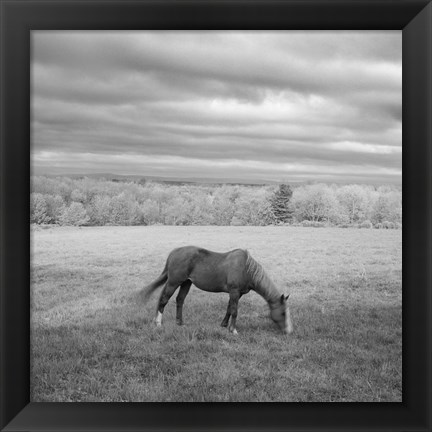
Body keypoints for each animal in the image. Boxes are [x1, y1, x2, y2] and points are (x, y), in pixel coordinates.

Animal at [139, 246, 294, 334]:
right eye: (282, 313)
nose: (289, 331)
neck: (245, 269)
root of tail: (173, 253)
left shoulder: (237, 294)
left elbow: (229, 309)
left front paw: (224, 325)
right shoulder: (234, 292)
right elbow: (235, 311)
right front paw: (233, 330)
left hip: (186, 283)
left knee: (180, 300)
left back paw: (180, 323)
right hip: (174, 282)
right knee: (164, 299)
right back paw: (158, 323)